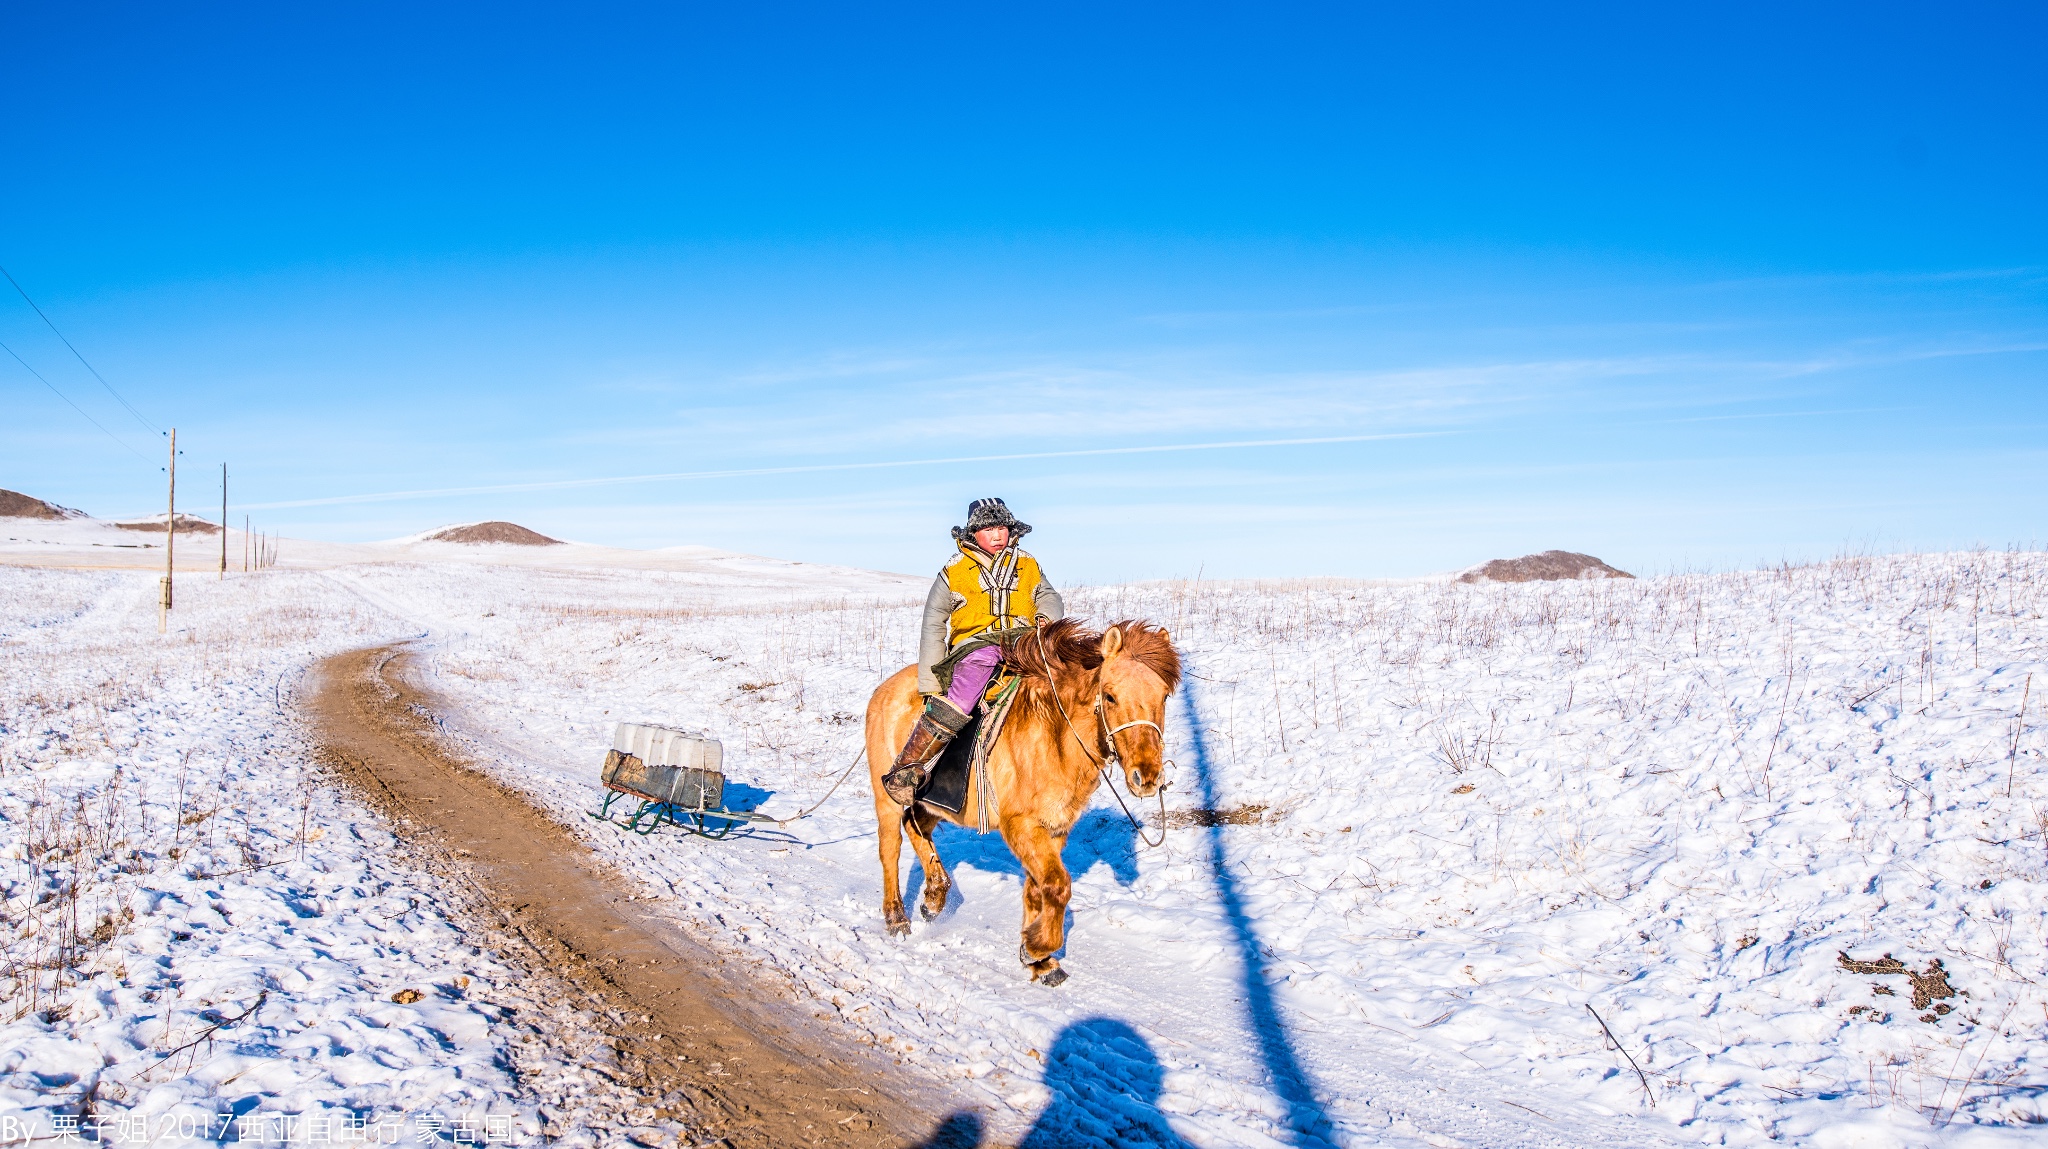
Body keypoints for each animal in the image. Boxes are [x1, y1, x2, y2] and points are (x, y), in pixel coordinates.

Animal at [864, 618, 1187, 987]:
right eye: (1110, 695)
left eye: (1163, 696)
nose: (1146, 777)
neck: (1055, 737)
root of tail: (883, 690)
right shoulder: (1020, 825)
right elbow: (1058, 886)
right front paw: (1037, 947)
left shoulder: (1055, 828)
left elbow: (1039, 889)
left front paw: (1039, 960)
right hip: (887, 797)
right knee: (891, 846)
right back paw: (896, 918)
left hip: (938, 802)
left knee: (916, 825)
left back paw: (934, 897)